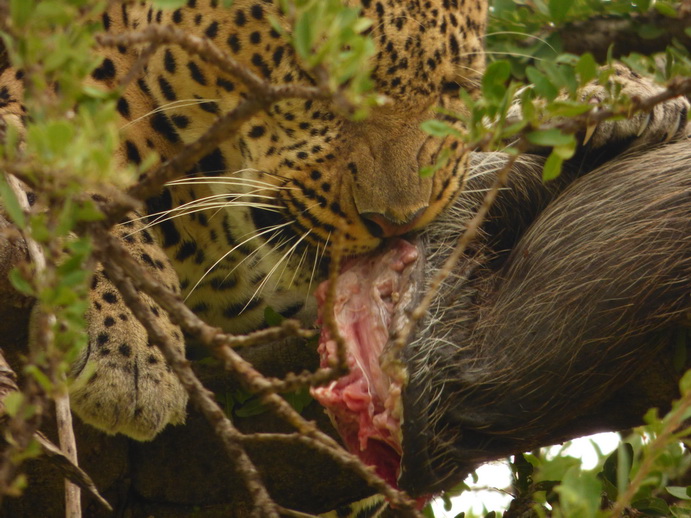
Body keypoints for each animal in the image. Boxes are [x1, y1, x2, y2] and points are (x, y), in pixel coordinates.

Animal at [0, 0, 688, 506]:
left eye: (451, 90)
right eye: (318, 82)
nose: (393, 222)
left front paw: (606, 98)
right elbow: (72, 176)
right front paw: (131, 350)